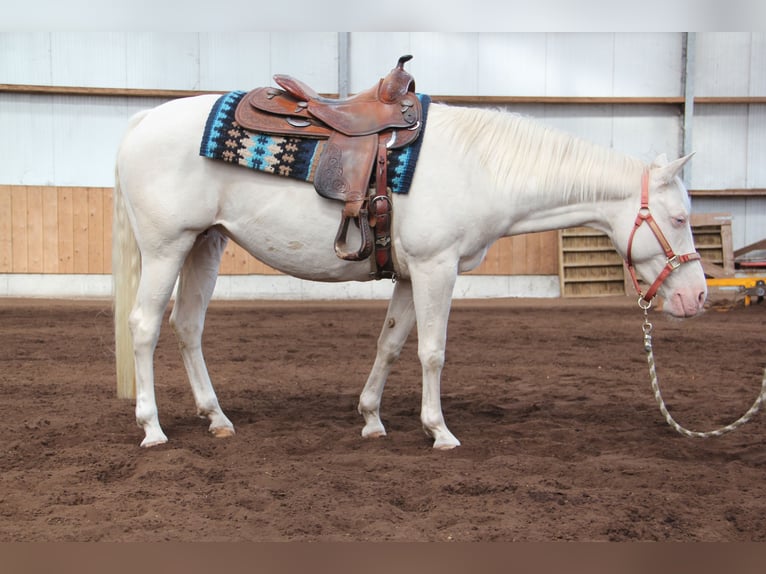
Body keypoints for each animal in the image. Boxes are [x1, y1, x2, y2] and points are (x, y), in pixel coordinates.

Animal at [112, 94, 707, 448]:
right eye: (680, 218)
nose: (698, 298)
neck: (481, 167)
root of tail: (141, 120)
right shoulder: (435, 267)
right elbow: (432, 351)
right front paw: (439, 429)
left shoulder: (407, 275)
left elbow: (392, 344)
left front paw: (372, 419)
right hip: (167, 247)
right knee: (144, 327)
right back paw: (153, 427)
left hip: (204, 244)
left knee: (188, 327)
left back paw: (217, 418)